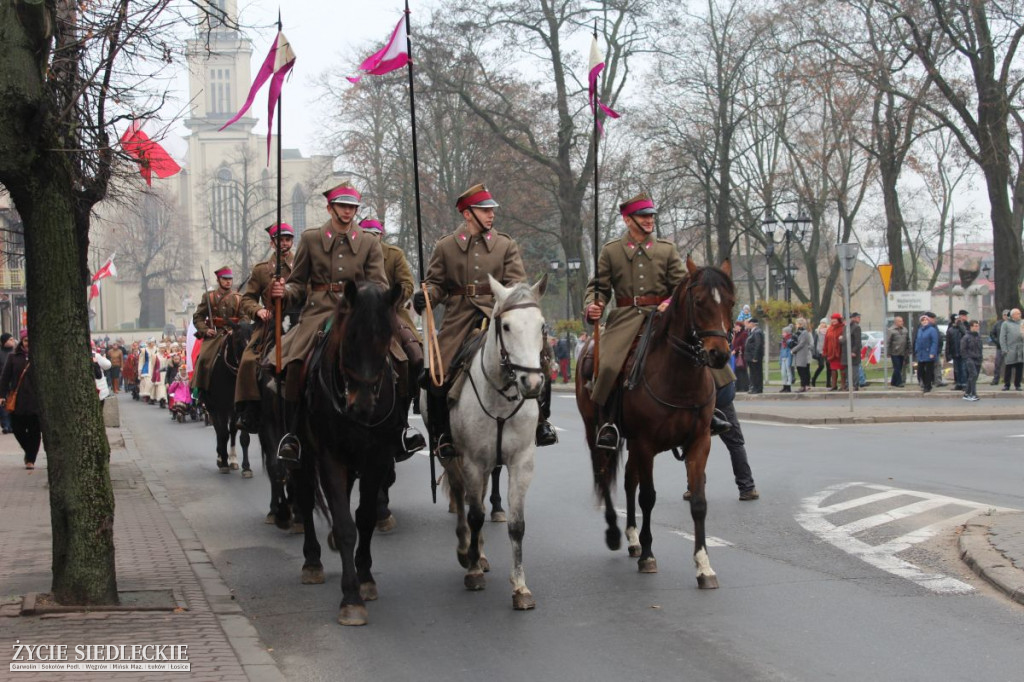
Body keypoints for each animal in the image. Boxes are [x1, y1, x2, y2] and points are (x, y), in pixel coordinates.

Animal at [203, 321, 251, 475]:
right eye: (238, 339)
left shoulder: (242, 408)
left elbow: (243, 436)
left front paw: (246, 467)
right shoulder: (221, 407)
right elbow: (223, 434)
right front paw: (223, 462)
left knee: (232, 431)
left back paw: (233, 459)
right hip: (212, 408)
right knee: (219, 430)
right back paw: (221, 457)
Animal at [292, 276, 403, 622]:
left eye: (388, 335)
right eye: (351, 335)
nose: (362, 406)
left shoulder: (376, 457)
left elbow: (364, 518)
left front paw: (365, 579)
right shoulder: (330, 457)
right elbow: (344, 525)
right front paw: (351, 598)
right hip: (303, 454)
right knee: (304, 498)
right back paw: (312, 561)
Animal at [430, 274, 548, 606]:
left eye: (542, 326)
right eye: (506, 326)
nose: (532, 383)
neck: (501, 396)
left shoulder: (521, 463)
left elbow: (516, 525)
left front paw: (520, 586)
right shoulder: (471, 460)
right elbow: (474, 515)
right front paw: (472, 572)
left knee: (478, 497)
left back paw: (479, 554)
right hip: (452, 456)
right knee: (463, 499)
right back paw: (466, 551)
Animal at [577, 254, 737, 585]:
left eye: (730, 301)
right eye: (699, 301)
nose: (718, 355)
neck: (679, 377)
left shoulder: (699, 442)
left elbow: (698, 501)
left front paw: (703, 565)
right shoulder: (646, 444)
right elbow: (648, 497)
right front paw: (650, 556)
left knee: (628, 481)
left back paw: (632, 538)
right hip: (595, 432)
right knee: (604, 475)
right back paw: (615, 533)